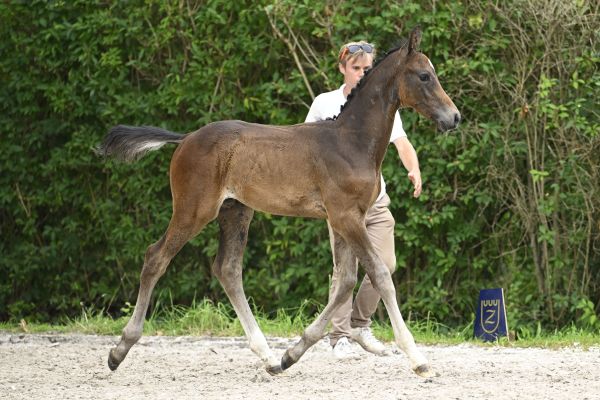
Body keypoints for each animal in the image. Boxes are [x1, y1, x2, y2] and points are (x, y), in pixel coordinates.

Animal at [99, 28, 460, 378]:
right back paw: (119, 351)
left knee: (227, 269)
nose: (454, 118)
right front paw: (418, 360)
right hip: (194, 210)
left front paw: (292, 354)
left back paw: (270, 357)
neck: (351, 141)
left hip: (235, 212)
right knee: (156, 257)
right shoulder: (346, 218)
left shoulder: (346, 219)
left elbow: (344, 283)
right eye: (424, 76)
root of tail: (186, 138)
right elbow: (380, 275)